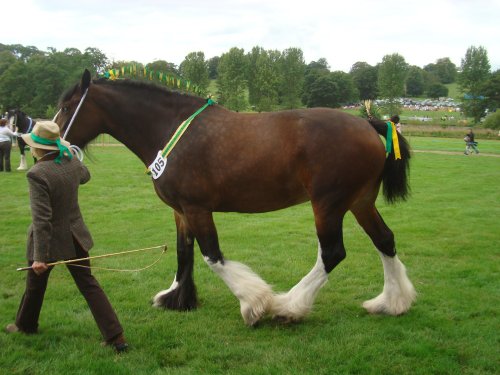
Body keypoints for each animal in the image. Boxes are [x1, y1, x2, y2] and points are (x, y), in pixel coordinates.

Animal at [54, 70, 416, 326]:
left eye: (68, 108)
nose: (46, 145)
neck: (171, 130)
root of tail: (368, 125)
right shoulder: (181, 211)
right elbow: (184, 253)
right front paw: (177, 298)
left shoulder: (197, 209)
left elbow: (212, 256)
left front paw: (253, 304)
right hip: (359, 202)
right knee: (385, 240)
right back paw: (392, 302)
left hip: (328, 205)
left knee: (332, 253)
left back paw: (289, 307)